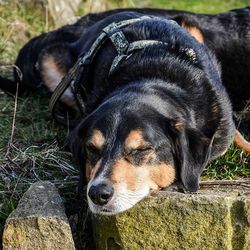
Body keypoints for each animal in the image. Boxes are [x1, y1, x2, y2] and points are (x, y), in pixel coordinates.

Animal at [0, 7, 250, 215]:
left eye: (141, 150)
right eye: (91, 149)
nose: (98, 194)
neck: (154, 77)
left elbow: (238, 137)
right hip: (49, 61)